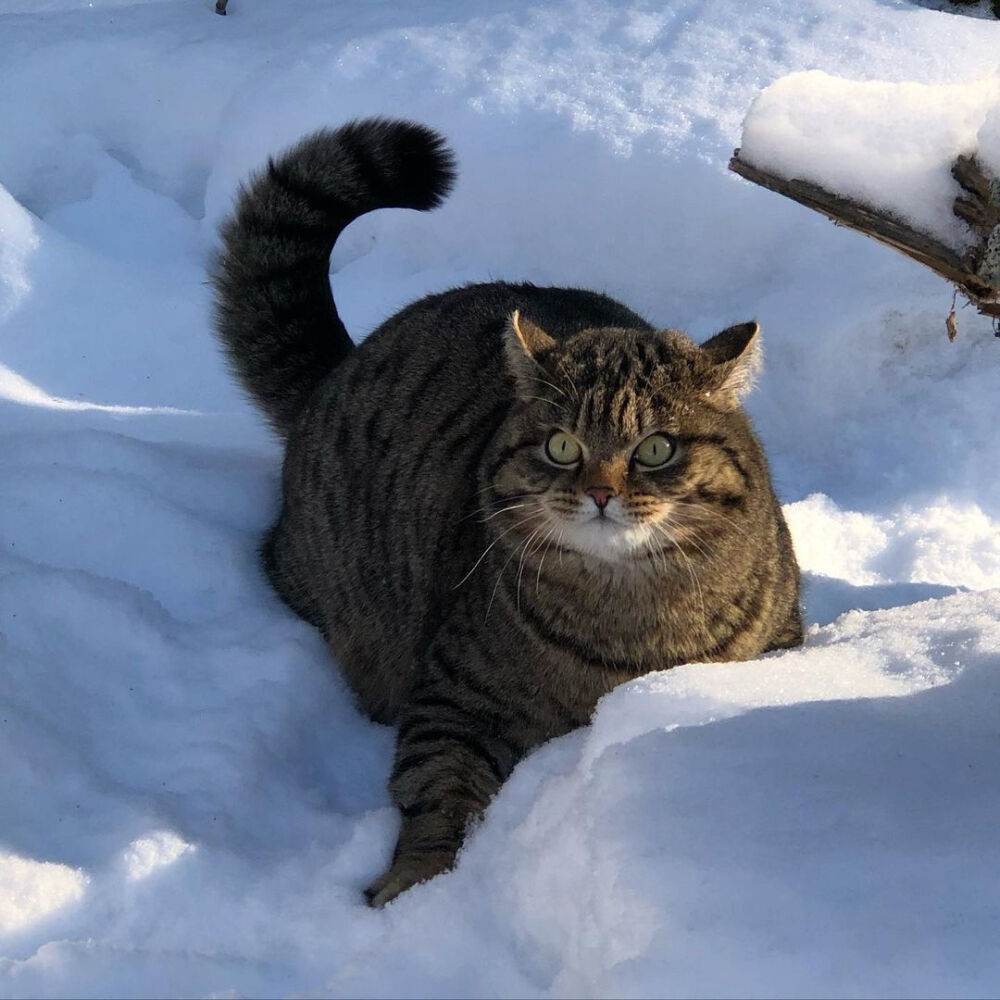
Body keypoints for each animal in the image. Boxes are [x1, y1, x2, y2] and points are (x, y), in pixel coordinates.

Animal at [213, 117, 804, 908]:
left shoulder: (782, 643)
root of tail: (335, 373)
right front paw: (416, 888)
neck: (632, 622)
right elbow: (437, 790)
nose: (601, 491)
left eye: (656, 448)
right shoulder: (454, 695)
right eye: (561, 444)